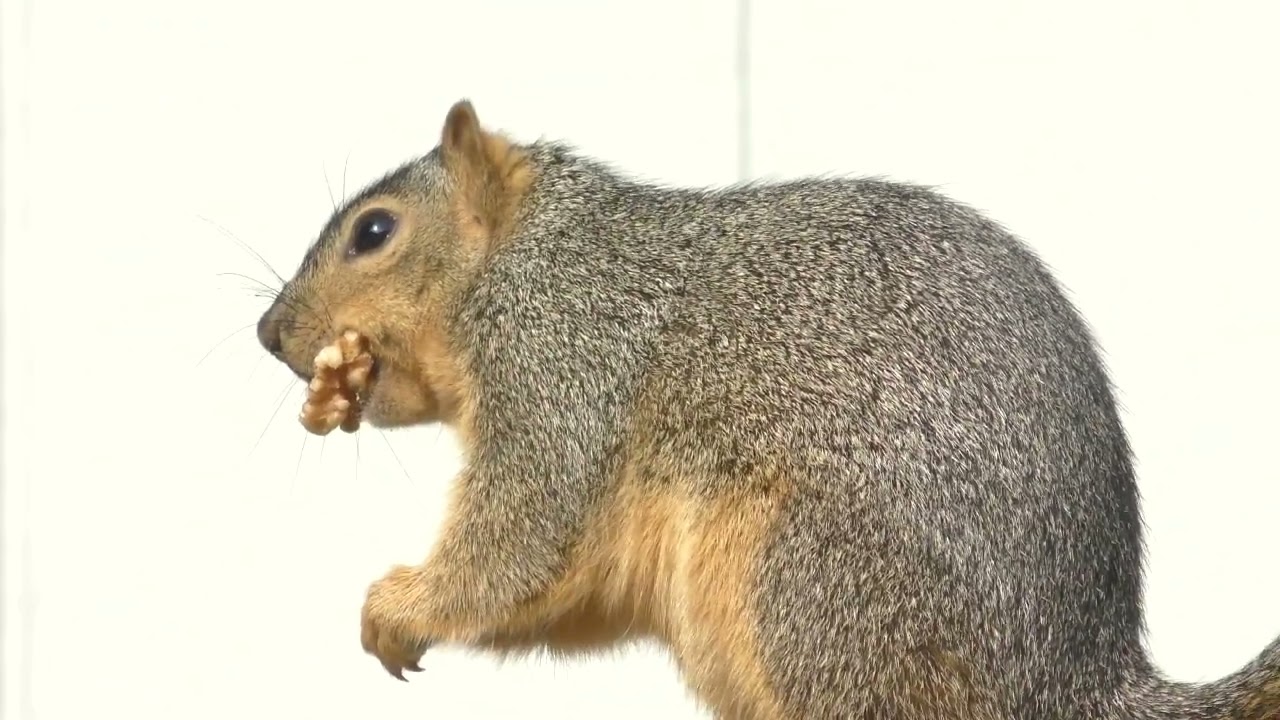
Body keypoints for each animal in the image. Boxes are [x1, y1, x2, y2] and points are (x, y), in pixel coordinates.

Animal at [255, 99, 1280, 720]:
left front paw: (399, 605)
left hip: (817, 588)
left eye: (374, 231)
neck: (535, 256)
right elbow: (566, 591)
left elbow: (518, 540)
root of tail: (1076, 678)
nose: (268, 332)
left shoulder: (563, 369)